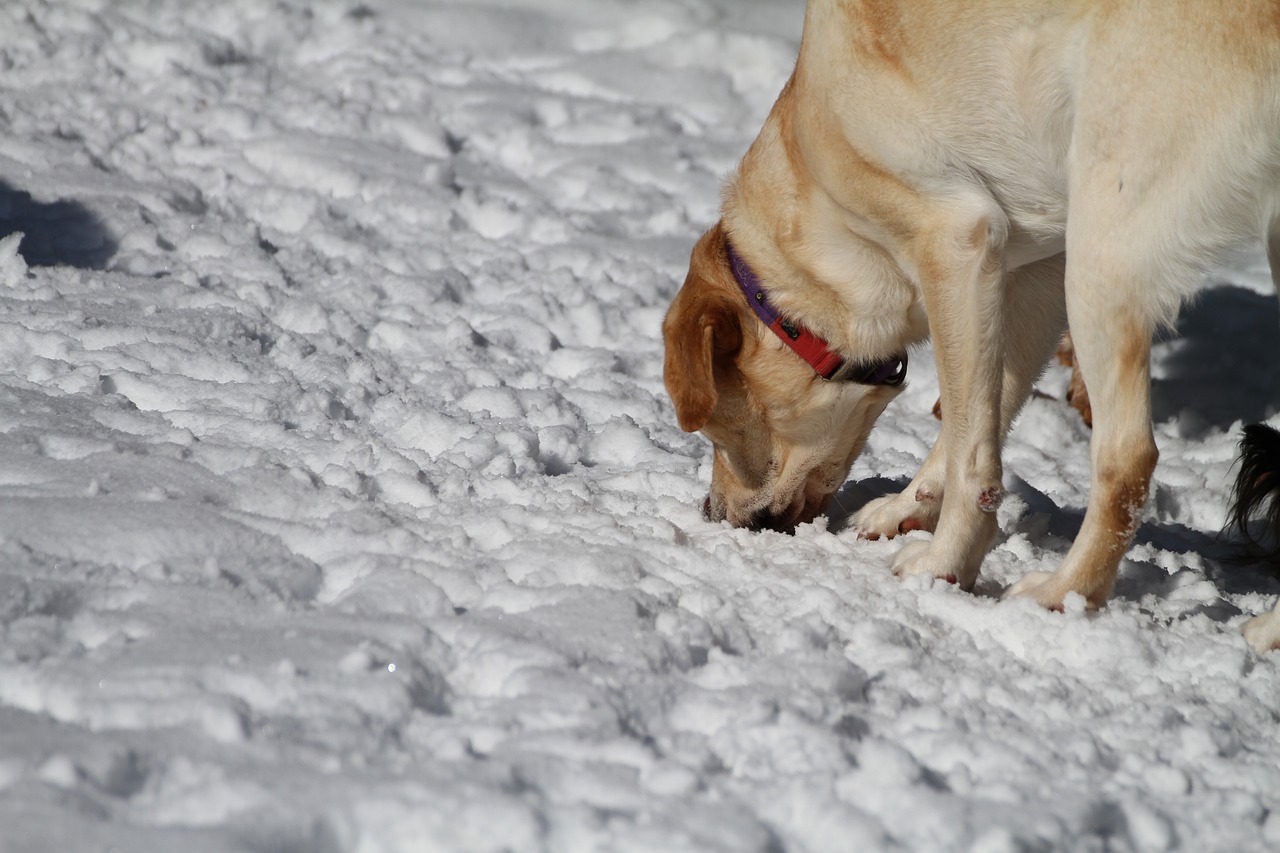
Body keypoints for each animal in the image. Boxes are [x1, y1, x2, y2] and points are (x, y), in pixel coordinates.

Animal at [665, 1, 1280, 645]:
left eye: (718, 430)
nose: (711, 514)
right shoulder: (1032, 276)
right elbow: (980, 419)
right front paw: (909, 507)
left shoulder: (956, 242)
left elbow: (970, 451)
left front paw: (945, 563)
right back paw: (1265, 634)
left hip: (1102, 248)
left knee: (1127, 461)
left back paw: (1061, 593)